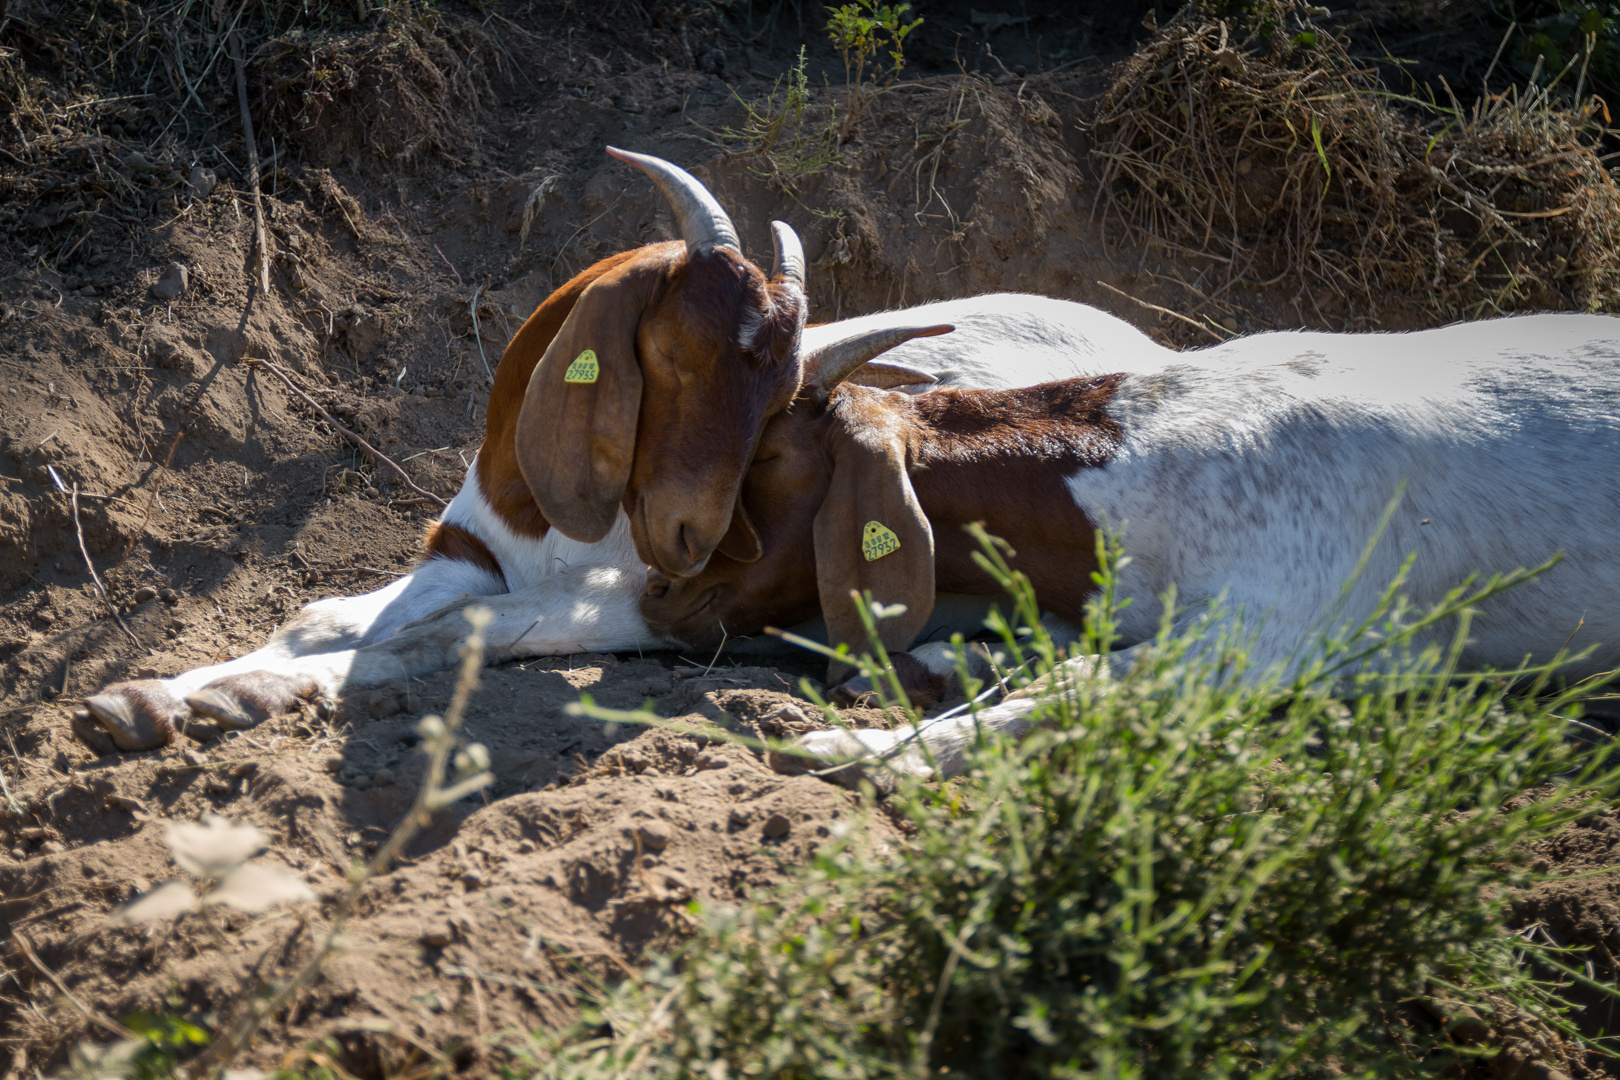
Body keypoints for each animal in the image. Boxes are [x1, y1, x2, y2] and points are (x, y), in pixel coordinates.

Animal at [641, 314, 1620, 786]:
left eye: (768, 459)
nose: (659, 593)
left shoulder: (1275, 633)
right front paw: (953, 662)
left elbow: (1072, 688)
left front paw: (868, 752)